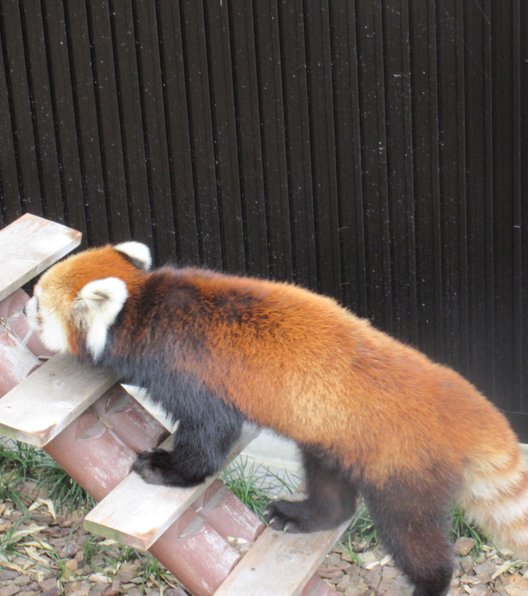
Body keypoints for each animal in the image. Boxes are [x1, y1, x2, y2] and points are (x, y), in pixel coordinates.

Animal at [27, 242, 528, 596]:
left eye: (38, 304)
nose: (27, 307)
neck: (142, 305)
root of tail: (462, 401)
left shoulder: (187, 371)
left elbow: (209, 436)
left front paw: (165, 469)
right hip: (330, 440)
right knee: (332, 490)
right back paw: (302, 515)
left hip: (402, 471)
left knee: (413, 536)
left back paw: (429, 583)